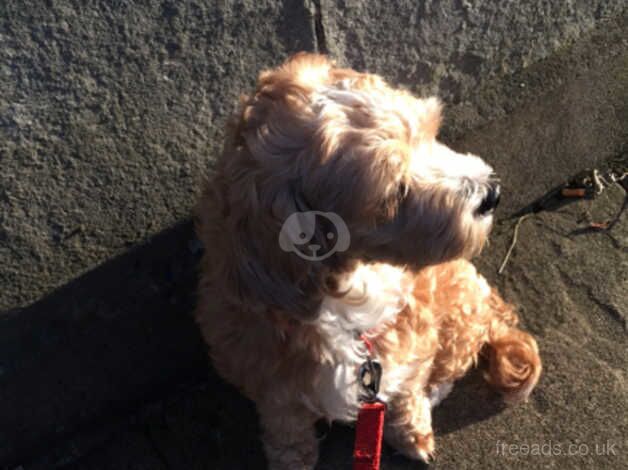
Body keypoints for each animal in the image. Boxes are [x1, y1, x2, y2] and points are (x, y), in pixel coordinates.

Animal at [195, 53, 540, 468]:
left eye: (430, 133)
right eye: (395, 193)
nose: (492, 193)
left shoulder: (409, 346)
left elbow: (406, 396)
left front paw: (412, 433)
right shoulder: (268, 375)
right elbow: (286, 425)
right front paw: (291, 459)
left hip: (461, 304)